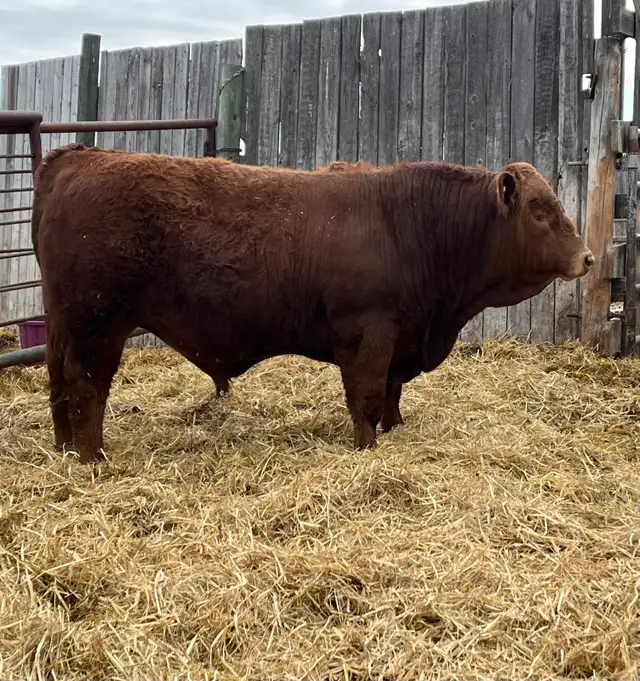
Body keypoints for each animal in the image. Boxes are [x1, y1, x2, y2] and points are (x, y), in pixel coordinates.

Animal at [31, 144, 594, 464]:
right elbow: (367, 397)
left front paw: (396, 430)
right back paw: (93, 457)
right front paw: (367, 449)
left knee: (58, 381)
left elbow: (392, 393)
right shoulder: (369, 333)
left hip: (64, 323)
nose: (587, 257)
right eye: (540, 210)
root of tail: (79, 155)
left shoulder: (401, 335)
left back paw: (64, 449)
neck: (410, 225)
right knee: (87, 387)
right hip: (97, 326)